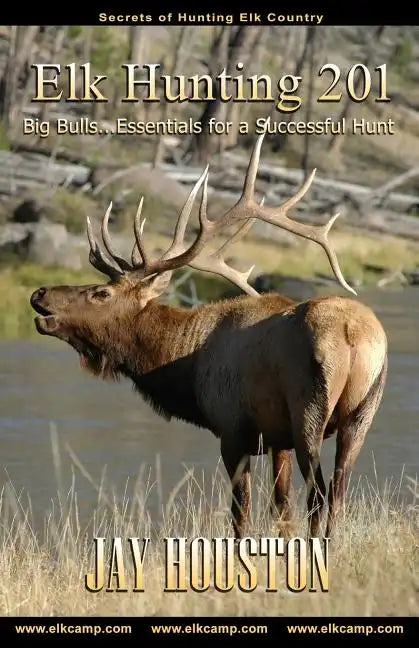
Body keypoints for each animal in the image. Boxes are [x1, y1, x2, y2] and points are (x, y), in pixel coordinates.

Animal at [30, 131, 387, 539]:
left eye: (101, 293)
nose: (39, 293)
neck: (185, 370)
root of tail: (353, 336)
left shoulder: (232, 429)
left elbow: (241, 513)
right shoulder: (275, 438)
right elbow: (281, 509)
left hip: (308, 412)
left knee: (319, 494)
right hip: (361, 416)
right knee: (338, 493)